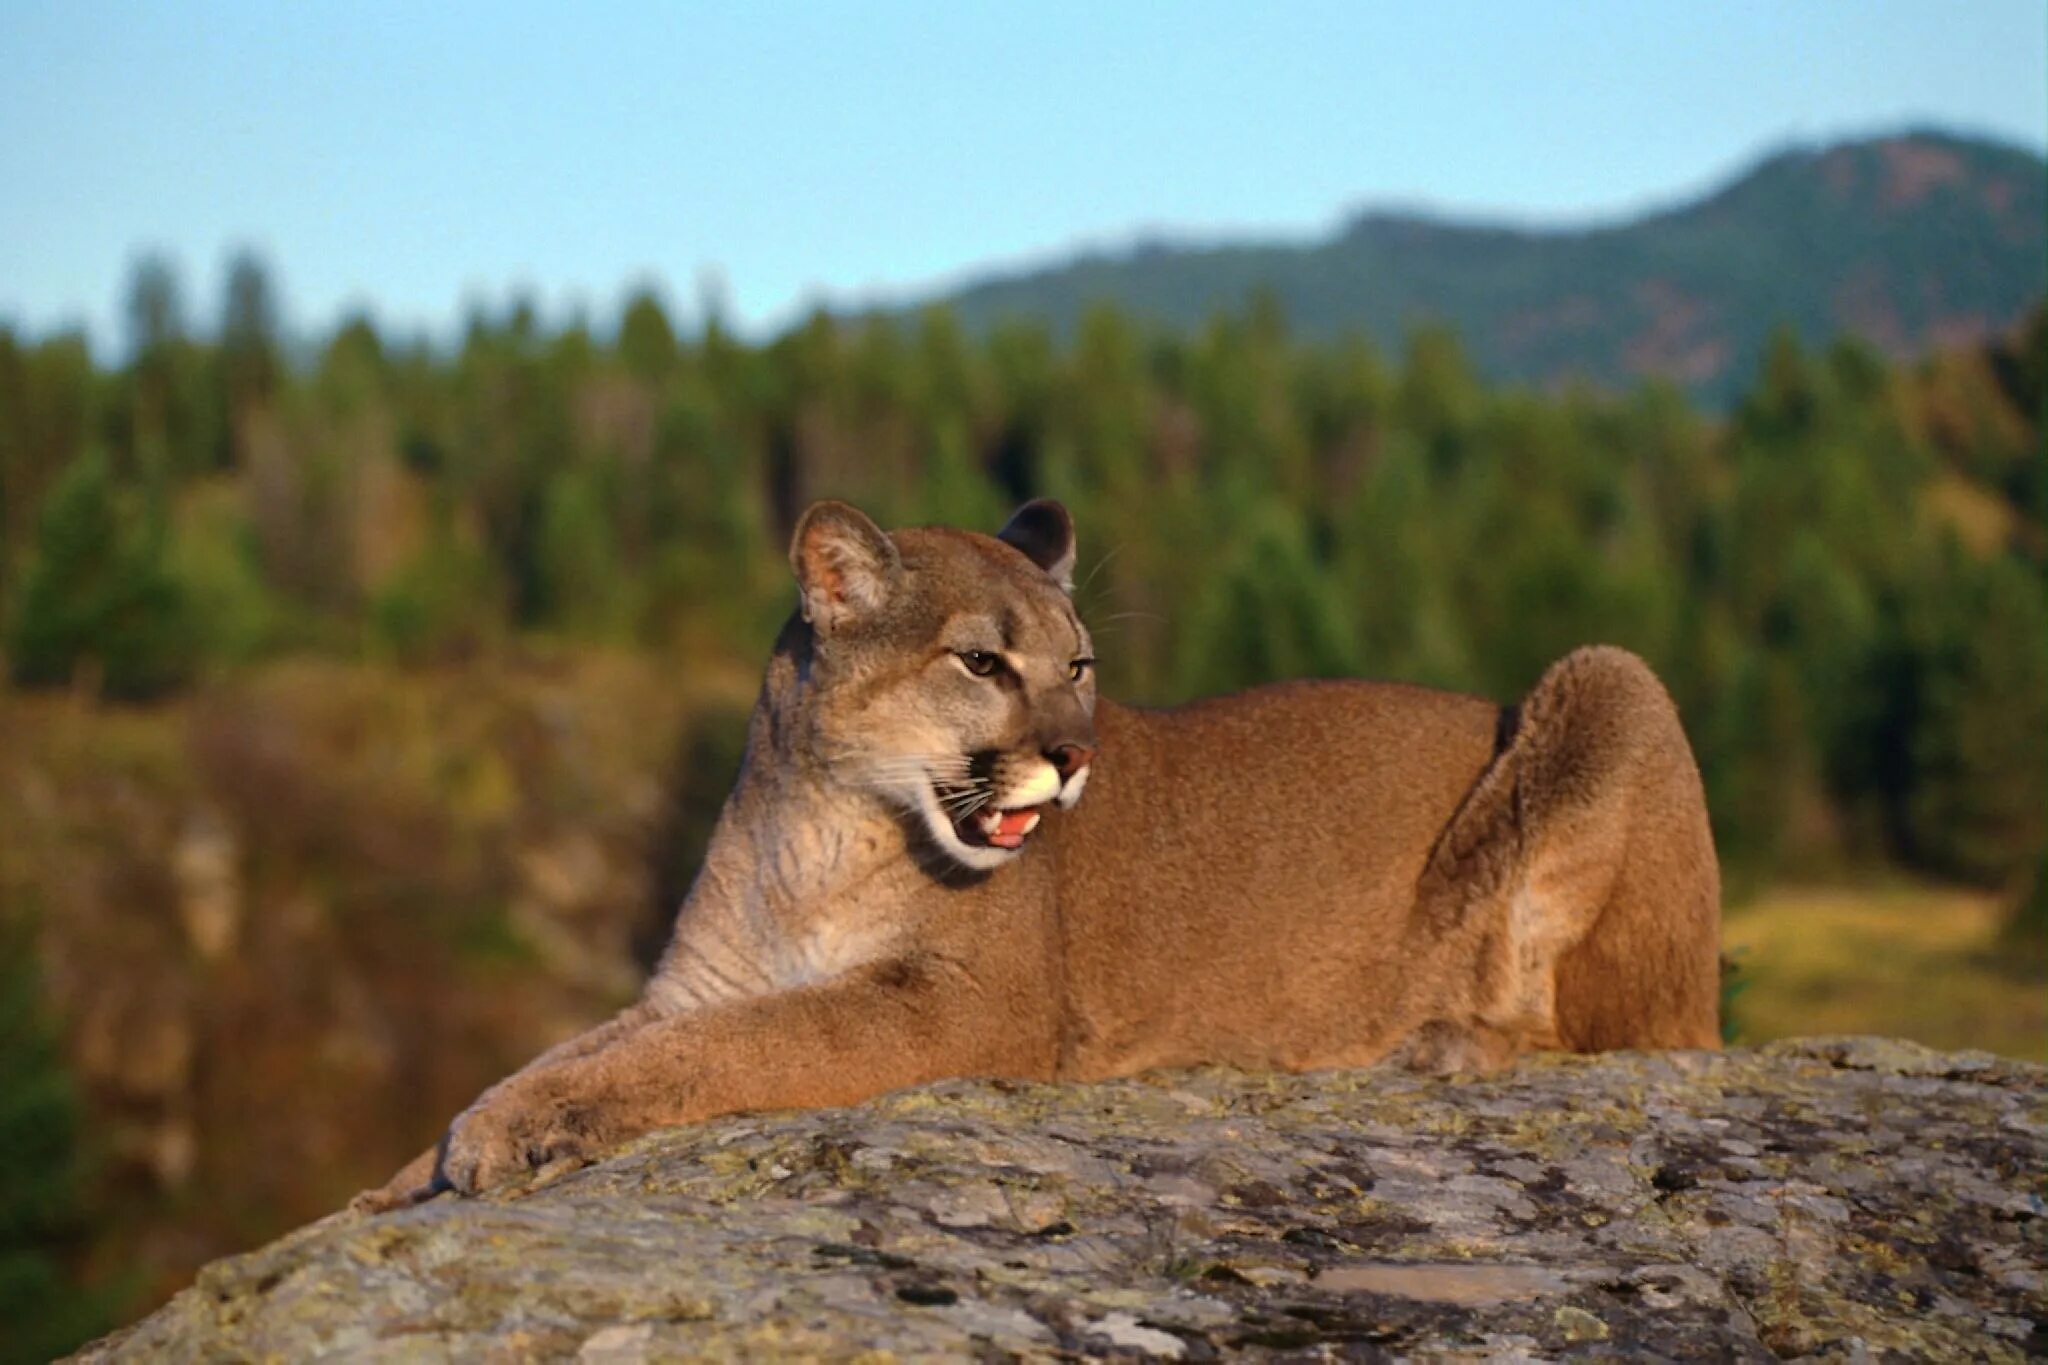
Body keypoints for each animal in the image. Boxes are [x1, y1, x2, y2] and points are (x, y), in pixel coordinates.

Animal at [360, 499, 1720, 1203]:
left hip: (1611, 679)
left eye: (1079, 665)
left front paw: (506, 1135)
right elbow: (582, 1047)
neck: (817, 825)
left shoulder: (957, 1006)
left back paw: (1435, 1041)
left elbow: (725, 1049)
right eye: (980, 661)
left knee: (1616, 1030)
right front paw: (414, 1171)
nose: (1074, 756)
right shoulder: (695, 981)